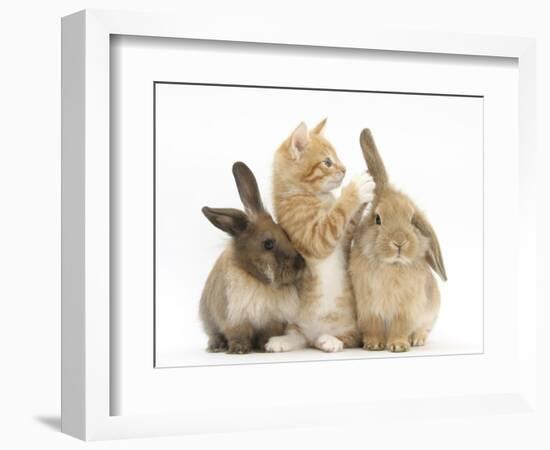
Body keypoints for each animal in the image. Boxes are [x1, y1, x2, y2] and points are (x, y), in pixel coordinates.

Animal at [202, 162, 308, 356]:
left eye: (285, 233)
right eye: (268, 244)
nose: (300, 264)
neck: (258, 280)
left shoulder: (272, 320)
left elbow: (268, 333)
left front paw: (266, 345)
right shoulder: (234, 318)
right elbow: (238, 334)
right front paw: (239, 350)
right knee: (214, 335)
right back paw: (216, 346)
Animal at [266, 119, 378, 352]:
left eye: (337, 158)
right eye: (327, 162)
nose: (344, 169)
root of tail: (314, 334)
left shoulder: (345, 236)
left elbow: (350, 219)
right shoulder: (314, 236)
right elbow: (337, 214)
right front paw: (356, 188)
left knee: (350, 338)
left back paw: (329, 339)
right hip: (295, 321)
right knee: (299, 336)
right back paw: (285, 340)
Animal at [354, 128, 448, 354]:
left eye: (412, 219)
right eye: (378, 219)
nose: (399, 242)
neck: (391, 266)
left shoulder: (406, 309)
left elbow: (400, 327)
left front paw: (397, 346)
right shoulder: (368, 308)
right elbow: (373, 327)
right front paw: (373, 345)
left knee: (423, 330)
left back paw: (417, 340)